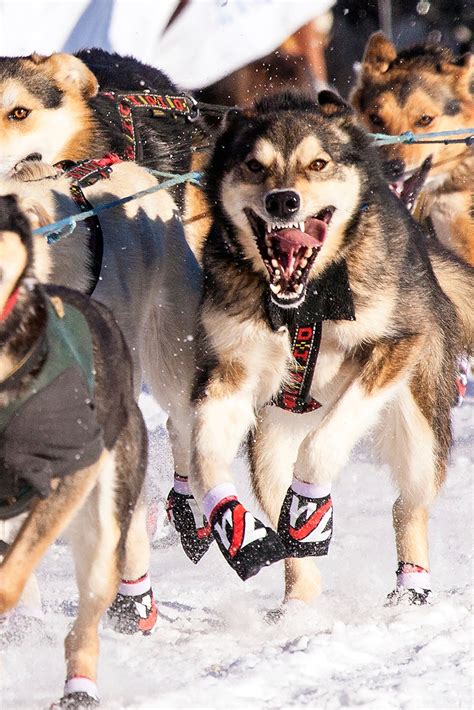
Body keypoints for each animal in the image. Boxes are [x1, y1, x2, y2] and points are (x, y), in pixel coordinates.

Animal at [165, 90, 472, 608]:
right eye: (254, 165)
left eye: (318, 163)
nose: (283, 200)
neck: (306, 300)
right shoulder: (230, 371)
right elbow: (205, 457)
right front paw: (231, 521)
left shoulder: (396, 345)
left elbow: (323, 444)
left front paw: (310, 502)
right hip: (270, 437)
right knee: (289, 534)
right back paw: (299, 609)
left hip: (419, 425)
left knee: (407, 504)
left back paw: (410, 589)